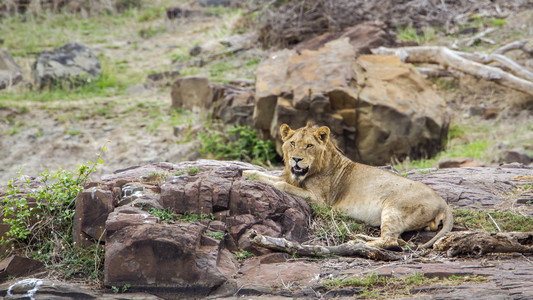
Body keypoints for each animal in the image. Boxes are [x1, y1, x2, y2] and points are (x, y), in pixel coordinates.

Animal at [243, 123, 450, 250]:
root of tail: (443, 202)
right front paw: (247, 172)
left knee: (391, 241)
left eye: (309, 146)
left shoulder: (321, 201)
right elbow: (271, 176)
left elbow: (281, 185)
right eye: (292, 143)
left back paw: (357, 244)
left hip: (394, 209)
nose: (296, 159)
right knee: (395, 239)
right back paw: (362, 238)